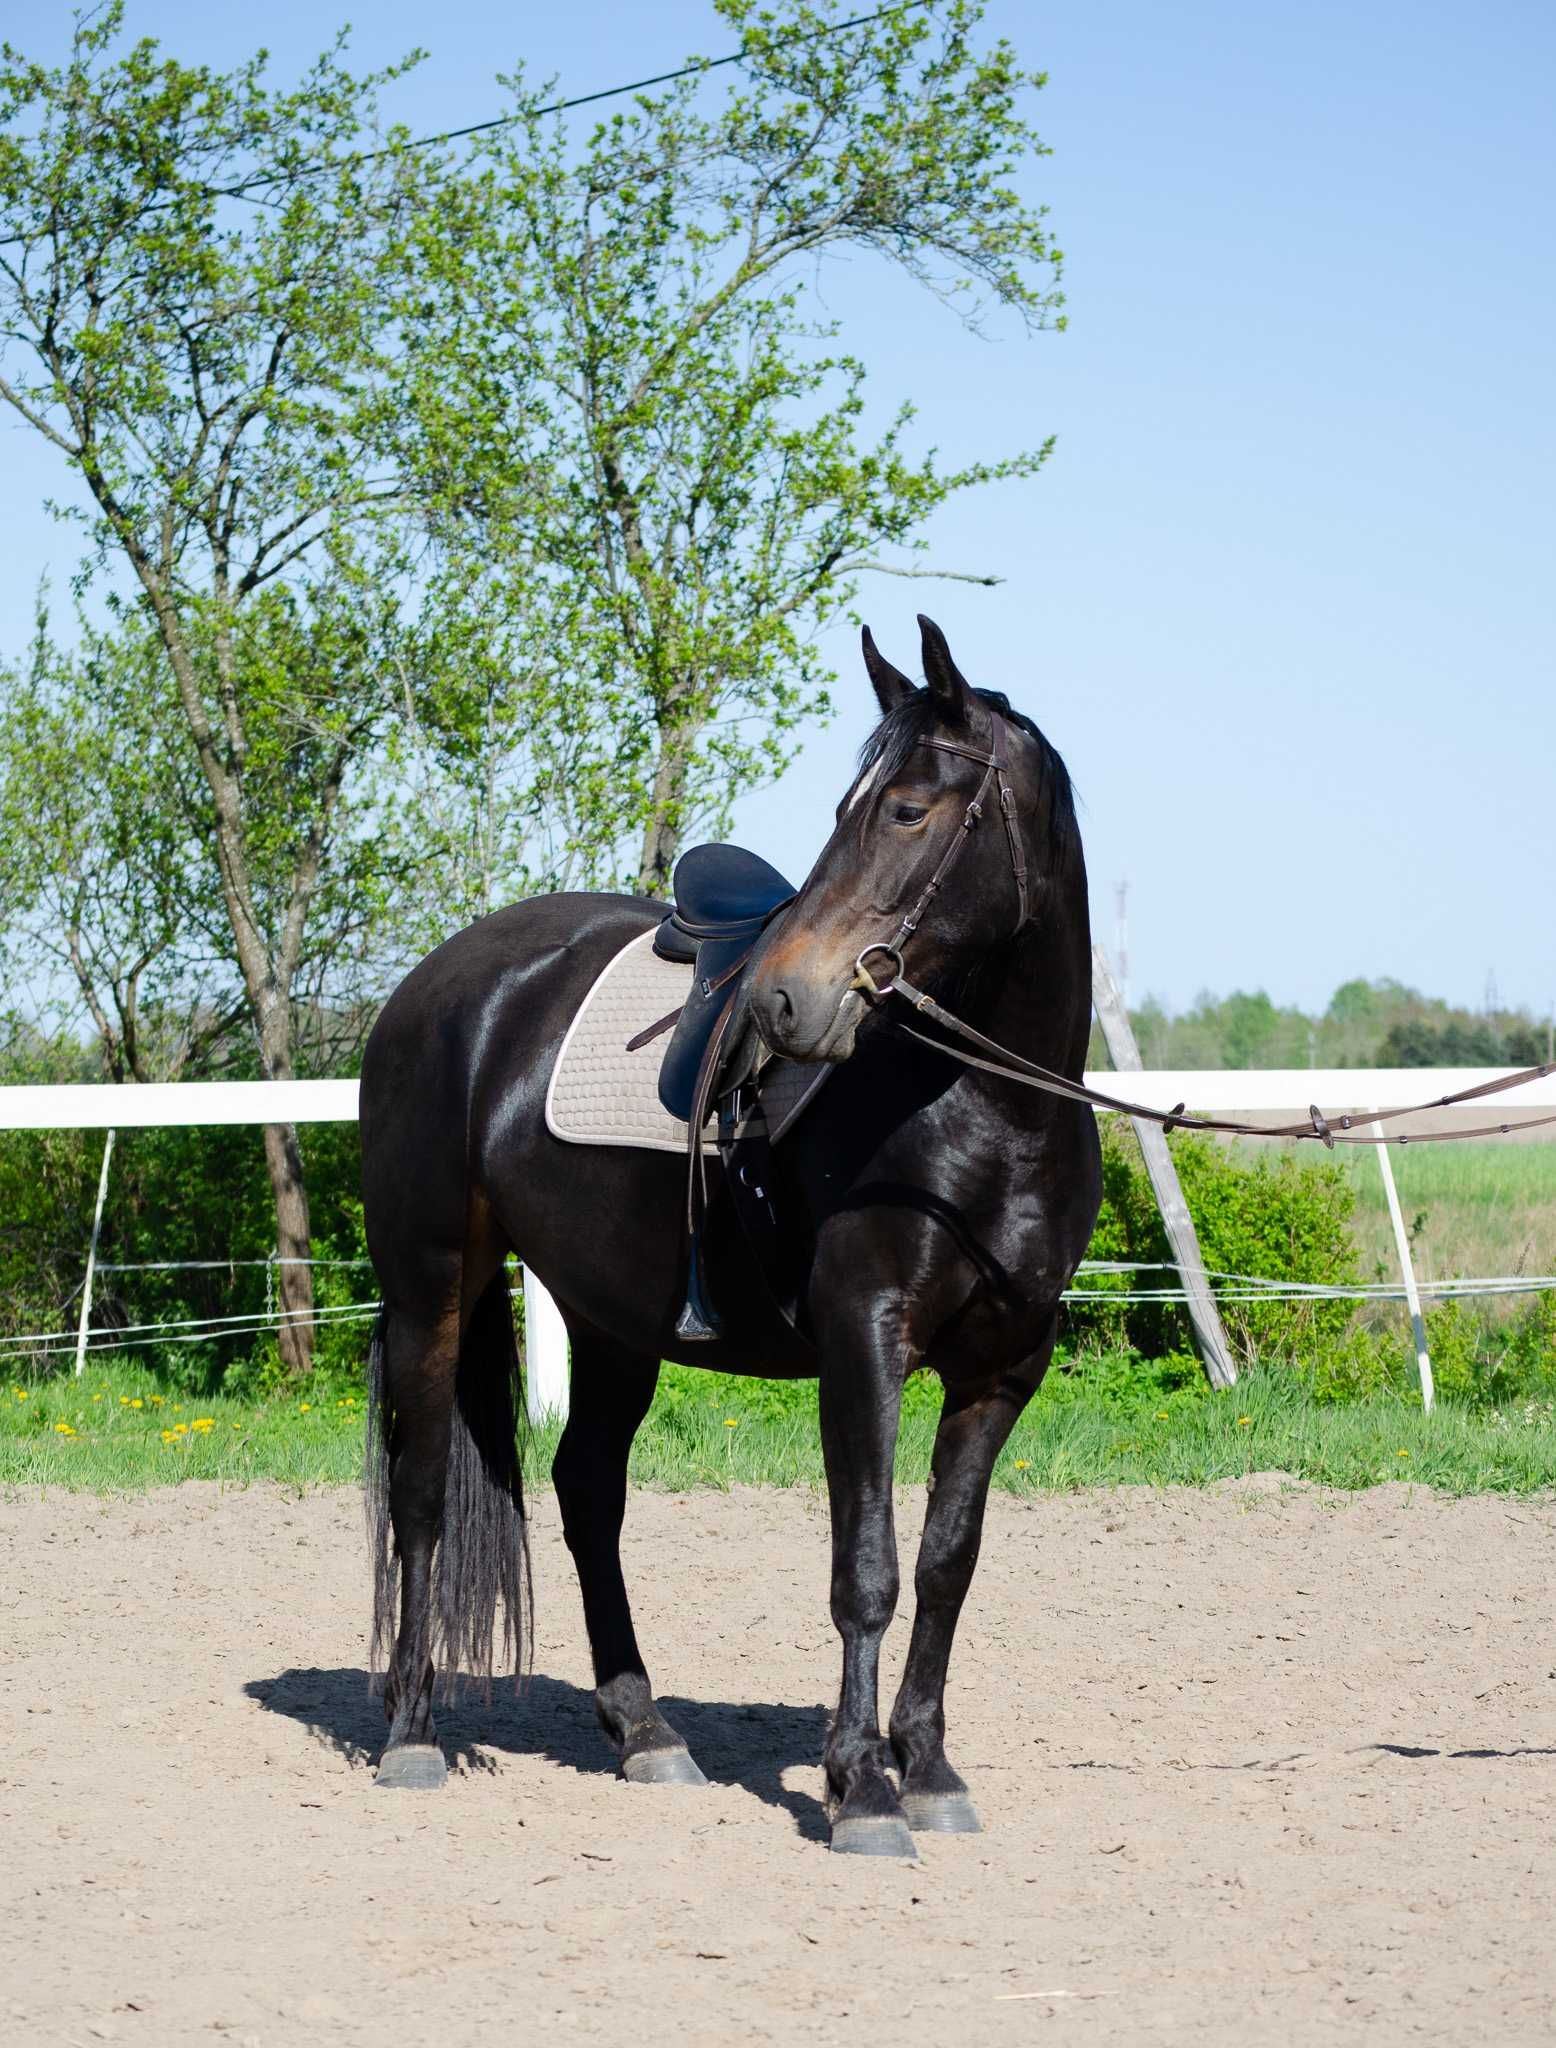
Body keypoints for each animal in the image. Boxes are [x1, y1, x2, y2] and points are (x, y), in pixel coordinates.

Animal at [358, 606, 1097, 1859]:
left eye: (908, 808)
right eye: (849, 805)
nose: (782, 1001)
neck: (984, 1116)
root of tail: (435, 983)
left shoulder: (1004, 1366)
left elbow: (945, 1562)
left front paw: (928, 1767)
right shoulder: (861, 1340)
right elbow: (866, 1566)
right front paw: (862, 1788)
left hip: (607, 1317)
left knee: (586, 1489)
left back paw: (645, 1731)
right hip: (429, 1286)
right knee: (420, 1496)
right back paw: (413, 1733)